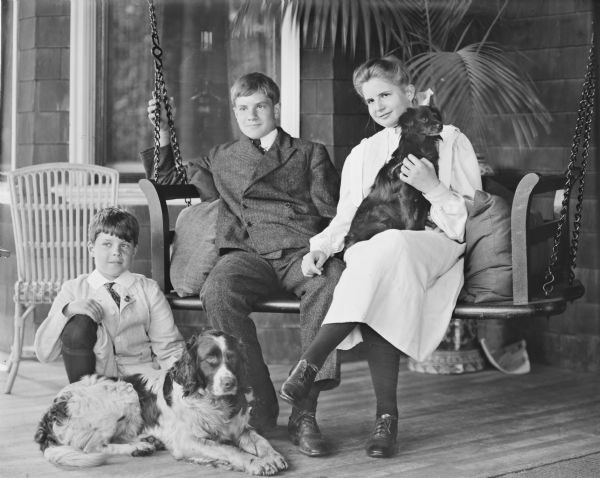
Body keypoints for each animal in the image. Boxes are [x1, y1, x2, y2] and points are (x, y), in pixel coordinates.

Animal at [34, 330, 288, 476]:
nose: (230, 383)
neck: (213, 403)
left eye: (233, 358)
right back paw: (138, 448)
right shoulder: (187, 440)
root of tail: (53, 408)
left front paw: (272, 456)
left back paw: (146, 441)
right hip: (123, 393)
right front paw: (255, 463)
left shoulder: (240, 428)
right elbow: (228, 448)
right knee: (94, 447)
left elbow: (261, 441)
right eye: (210, 360)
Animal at [344, 105, 442, 250]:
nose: (441, 125)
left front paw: (419, 230)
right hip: (383, 222)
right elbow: (410, 218)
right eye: (424, 119)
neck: (423, 147)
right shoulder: (405, 195)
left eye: (436, 116)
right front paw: (411, 232)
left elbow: (421, 217)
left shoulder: (424, 195)